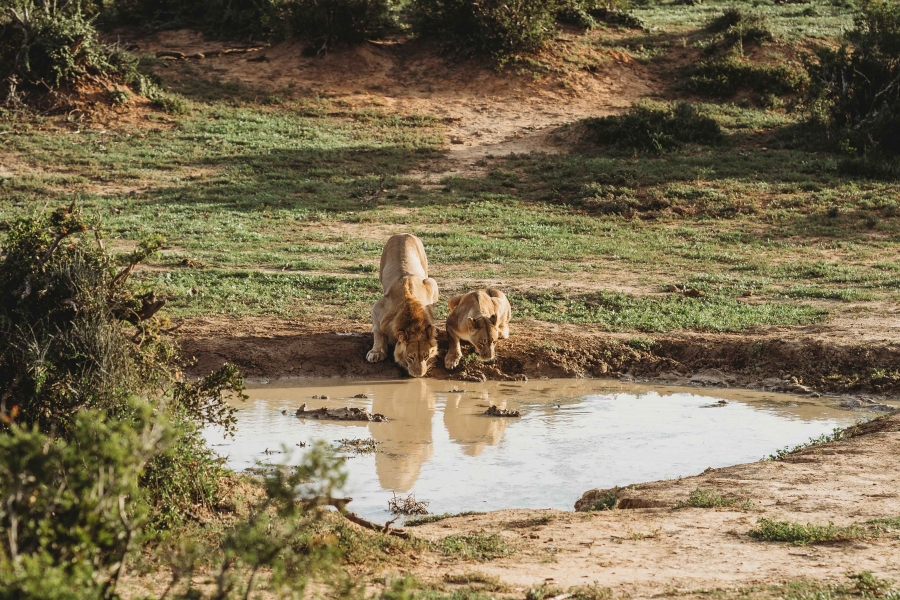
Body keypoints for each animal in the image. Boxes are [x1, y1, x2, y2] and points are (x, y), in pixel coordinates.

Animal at [364, 233, 438, 378]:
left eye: (426, 356)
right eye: (410, 357)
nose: (419, 375)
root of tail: (403, 234)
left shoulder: (430, 285)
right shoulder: (377, 307)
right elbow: (377, 331)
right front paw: (376, 352)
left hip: (429, 276)